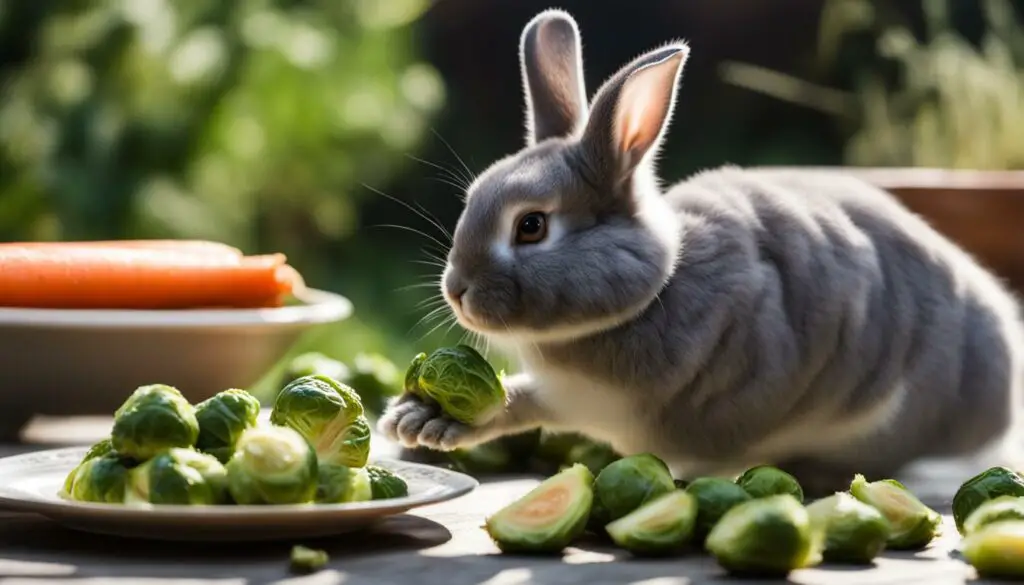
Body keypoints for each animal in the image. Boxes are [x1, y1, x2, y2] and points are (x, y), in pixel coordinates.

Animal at [378, 9, 1024, 493]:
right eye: (472, 199)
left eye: (531, 226)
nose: (456, 290)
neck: (652, 292)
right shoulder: (570, 398)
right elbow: (517, 402)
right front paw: (418, 419)